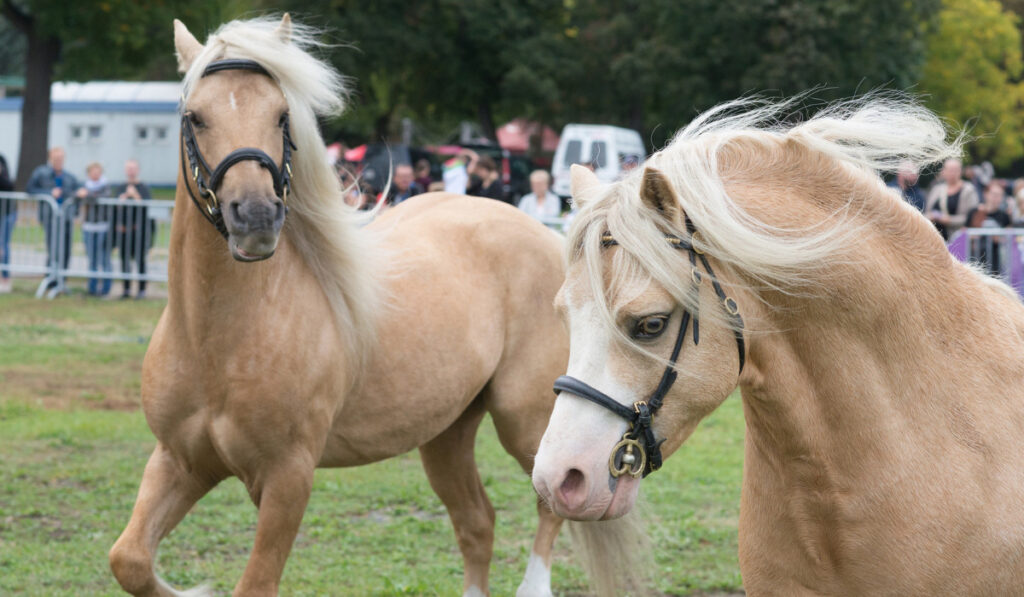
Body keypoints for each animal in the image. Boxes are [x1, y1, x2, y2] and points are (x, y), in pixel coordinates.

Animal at [108, 15, 589, 597]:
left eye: (282, 114)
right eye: (193, 117)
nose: (256, 217)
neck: (217, 341)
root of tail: (546, 235)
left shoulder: (287, 480)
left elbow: (253, 584)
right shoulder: (180, 460)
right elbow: (130, 559)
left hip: (525, 421)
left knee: (550, 502)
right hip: (446, 434)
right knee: (477, 522)